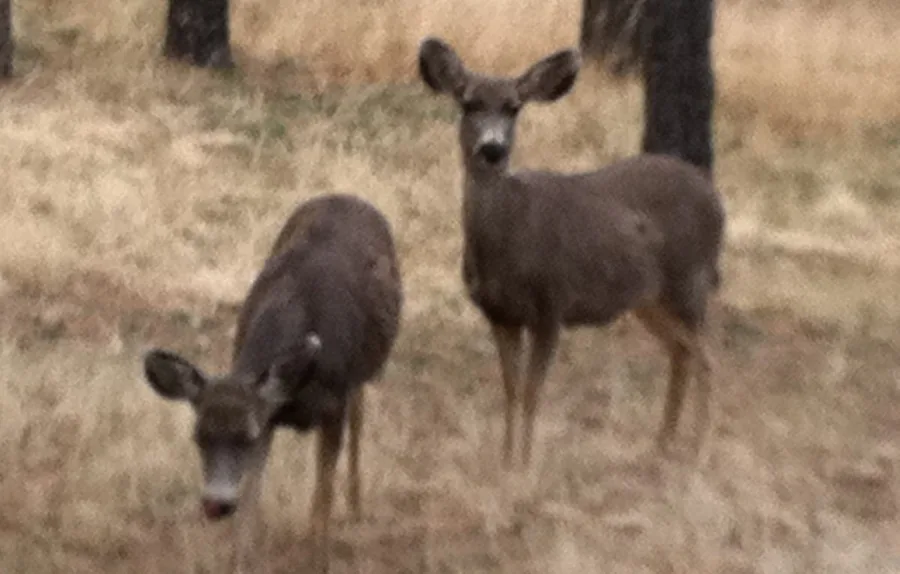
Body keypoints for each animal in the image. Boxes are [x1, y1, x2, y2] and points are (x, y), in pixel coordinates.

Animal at [140, 193, 403, 574]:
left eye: (245, 436)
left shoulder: (332, 406)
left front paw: (318, 561)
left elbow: (321, 497)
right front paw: (240, 562)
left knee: (360, 415)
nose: (216, 504)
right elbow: (250, 503)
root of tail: (346, 196)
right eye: (198, 436)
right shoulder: (268, 417)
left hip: (361, 373)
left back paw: (355, 506)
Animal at [417, 37, 726, 469]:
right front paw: (505, 462)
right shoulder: (499, 314)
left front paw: (525, 466)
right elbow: (510, 390)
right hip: (648, 299)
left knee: (709, 358)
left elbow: (532, 392)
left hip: (688, 281)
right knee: (681, 353)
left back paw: (699, 452)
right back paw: (661, 445)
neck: (507, 242)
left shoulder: (551, 305)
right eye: (469, 103)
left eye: (513, 106)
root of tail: (715, 199)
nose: (493, 149)